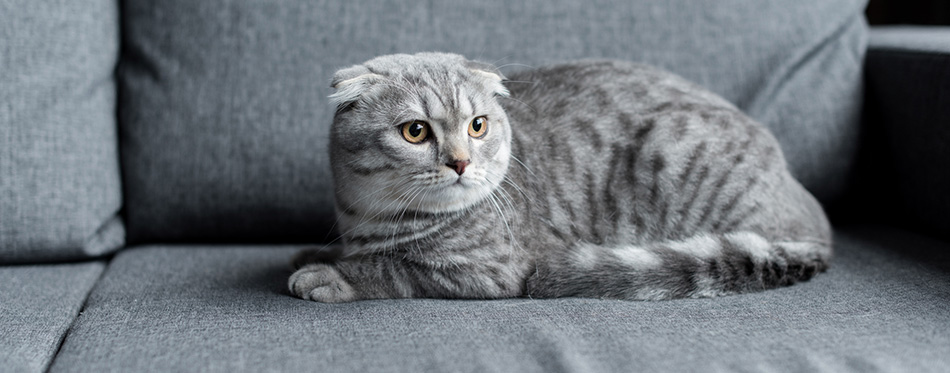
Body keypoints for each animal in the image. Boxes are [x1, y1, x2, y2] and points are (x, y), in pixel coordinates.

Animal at [290, 52, 832, 302]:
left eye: (477, 126)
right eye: (415, 131)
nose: (461, 161)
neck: (373, 218)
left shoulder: (490, 268)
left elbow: (394, 268)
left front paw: (332, 274)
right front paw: (317, 252)